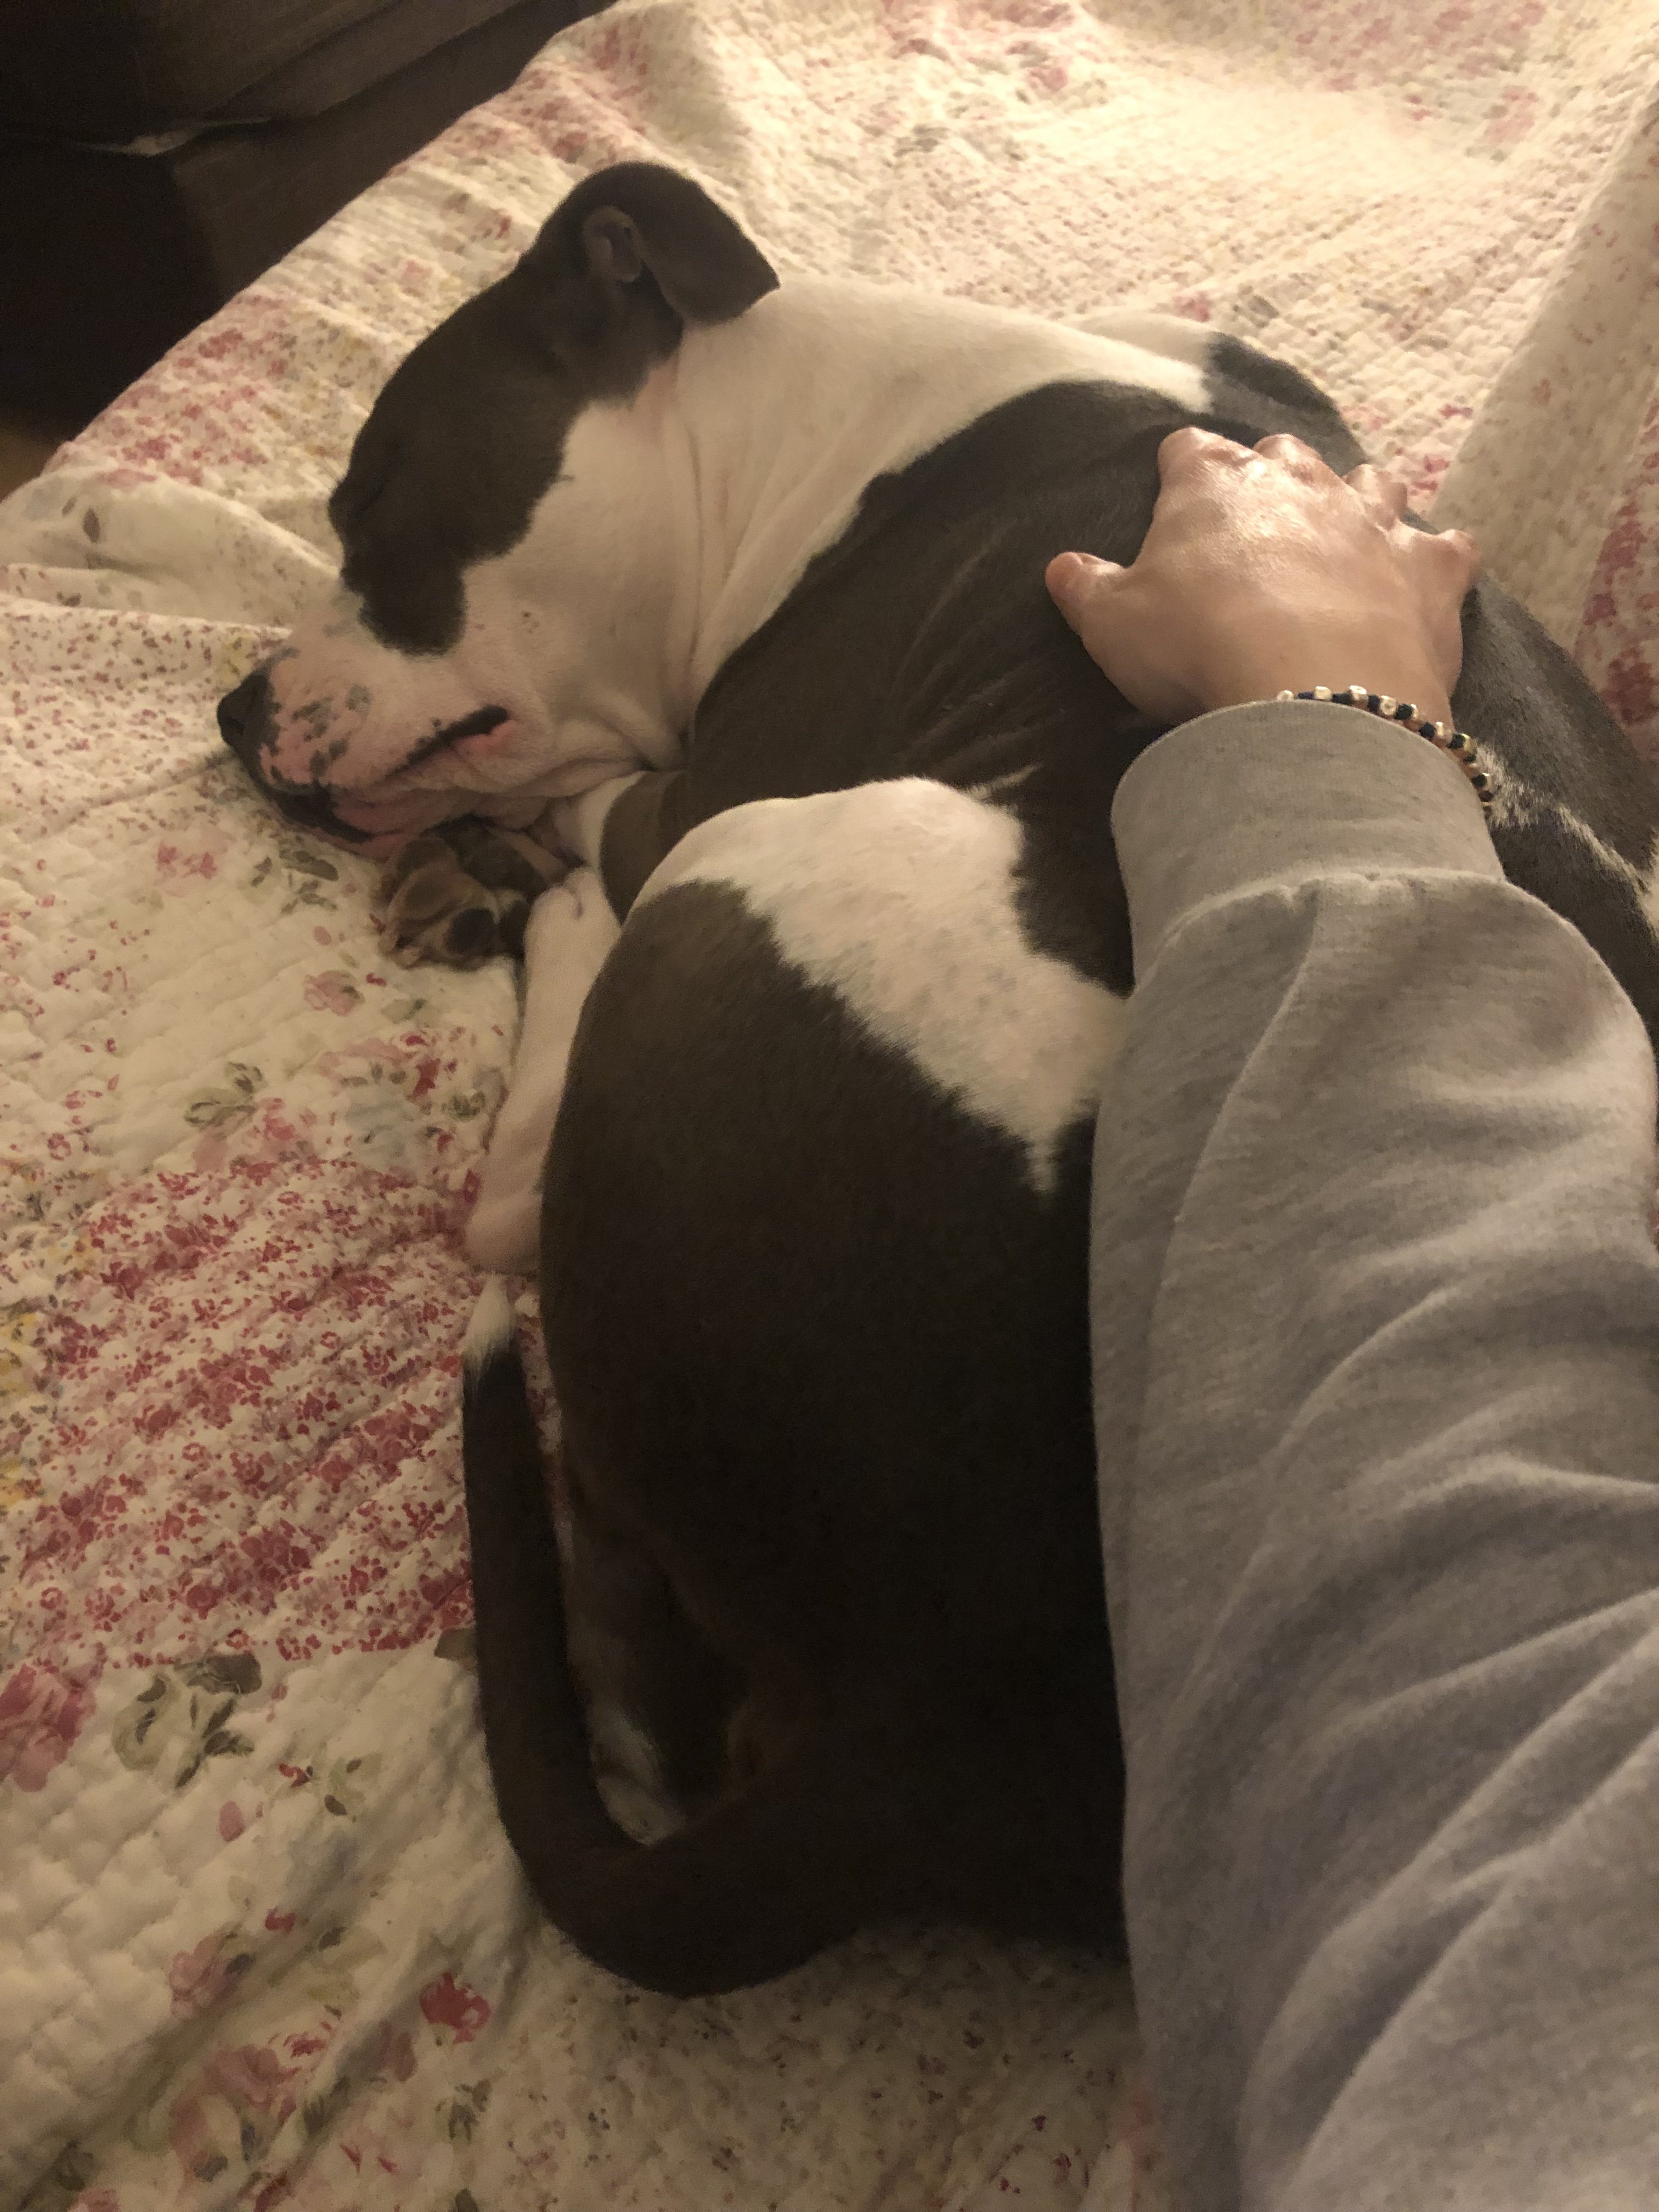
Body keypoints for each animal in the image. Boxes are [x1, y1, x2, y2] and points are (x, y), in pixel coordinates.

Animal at [220, 163, 1659, 1997]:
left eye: (362, 511)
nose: (230, 710)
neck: (791, 431)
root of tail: (939, 1722)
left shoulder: (692, 790)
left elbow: (587, 806)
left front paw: (504, 861)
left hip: (783, 858)